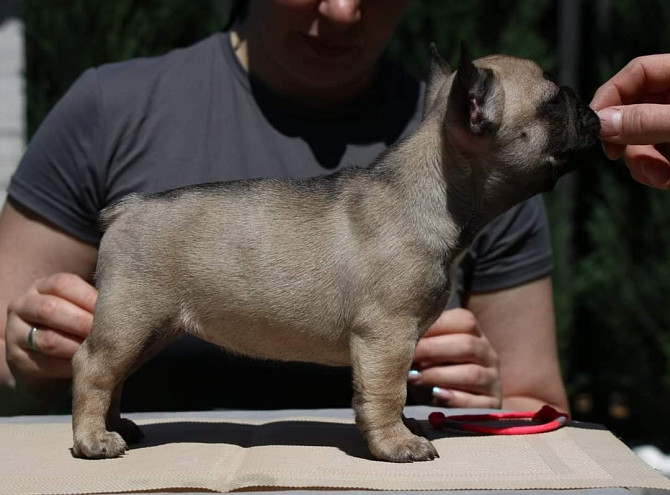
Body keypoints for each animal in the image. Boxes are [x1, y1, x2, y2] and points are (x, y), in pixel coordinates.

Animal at [71, 44, 600, 464]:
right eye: (554, 103)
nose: (590, 108)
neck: (434, 189)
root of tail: (126, 208)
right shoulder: (387, 335)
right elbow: (386, 391)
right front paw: (396, 443)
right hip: (132, 317)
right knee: (92, 367)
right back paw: (94, 439)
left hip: (151, 329)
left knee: (115, 374)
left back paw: (116, 427)